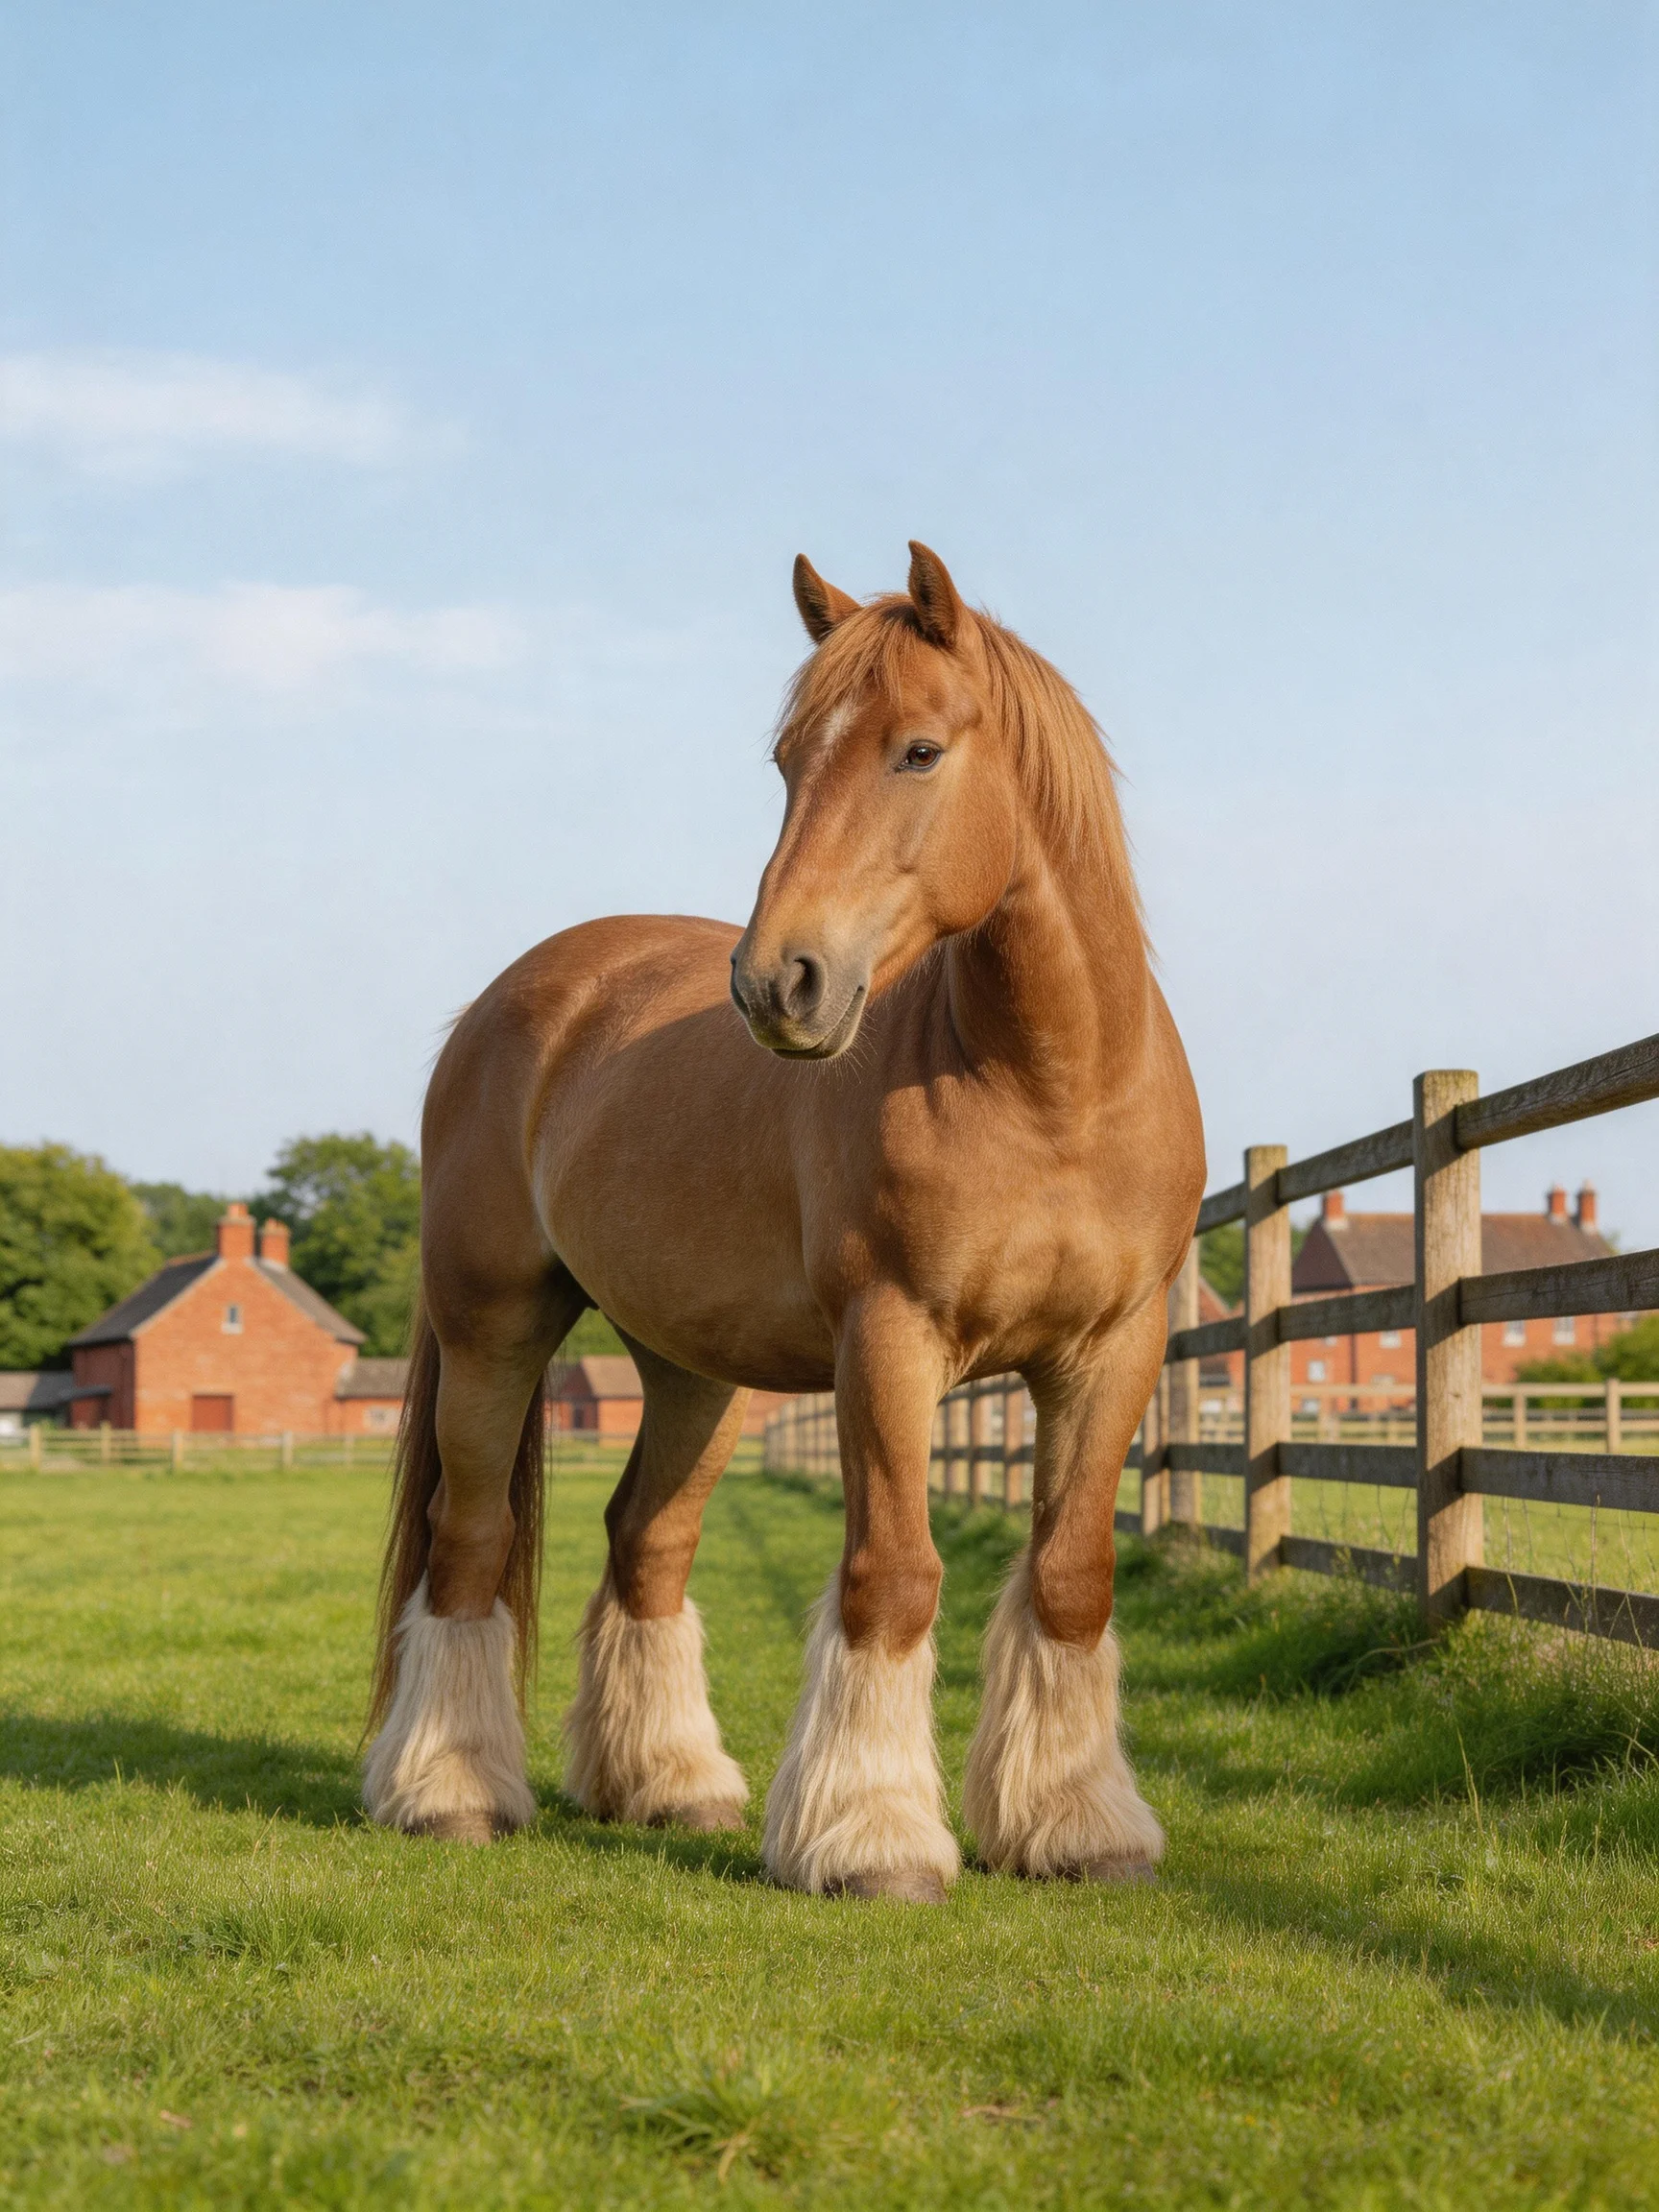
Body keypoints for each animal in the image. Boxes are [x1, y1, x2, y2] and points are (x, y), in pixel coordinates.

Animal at [363, 542, 1205, 1900]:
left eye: (919, 751)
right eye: (786, 761)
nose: (777, 983)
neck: (1057, 1091)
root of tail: (505, 1005)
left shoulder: (1111, 1350)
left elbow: (1072, 1578)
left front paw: (1079, 1825)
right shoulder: (891, 1342)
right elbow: (893, 1579)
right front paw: (873, 1837)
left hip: (694, 1376)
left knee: (645, 1543)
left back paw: (669, 1784)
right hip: (495, 1328)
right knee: (469, 1545)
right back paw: (448, 1792)